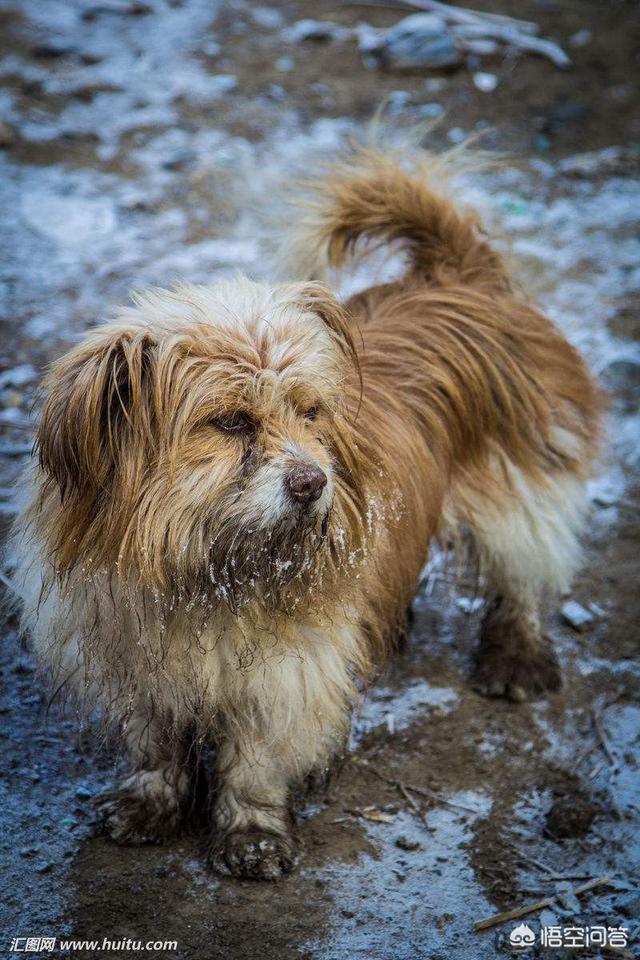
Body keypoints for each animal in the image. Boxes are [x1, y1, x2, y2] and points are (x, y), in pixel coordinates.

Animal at [8, 144, 600, 876]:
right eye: (231, 421)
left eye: (311, 413)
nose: (313, 483)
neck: (208, 573)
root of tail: (461, 275)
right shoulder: (130, 658)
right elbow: (154, 742)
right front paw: (149, 803)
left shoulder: (283, 672)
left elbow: (257, 758)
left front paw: (251, 834)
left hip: (518, 485)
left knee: (523, 575)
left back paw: (514, 658)